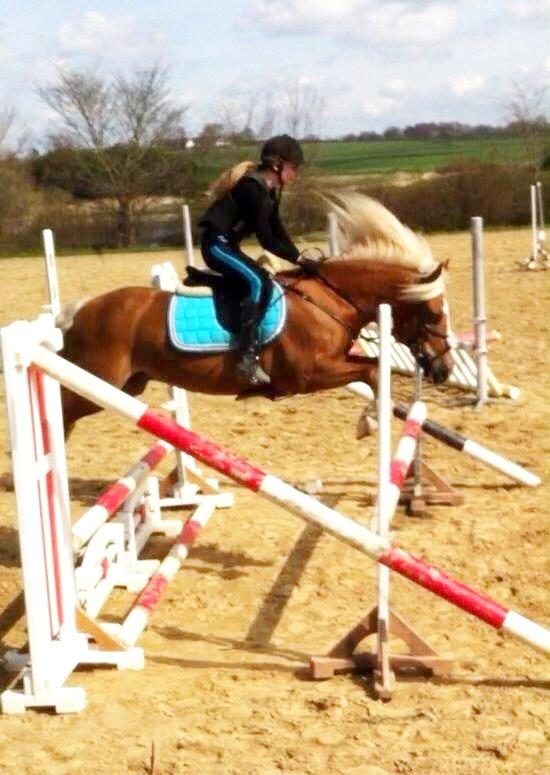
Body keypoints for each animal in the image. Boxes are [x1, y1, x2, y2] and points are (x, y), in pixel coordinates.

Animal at [61, 192, 458, 436]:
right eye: (433, 312)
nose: (444, 368)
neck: (329, 298)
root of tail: (82, 312)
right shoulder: (307, 374)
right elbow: (375, 370)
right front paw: (370, 424)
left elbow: (374, 370)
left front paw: (370, 420)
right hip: (96, 383)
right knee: (62, 413)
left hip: (127, 384)